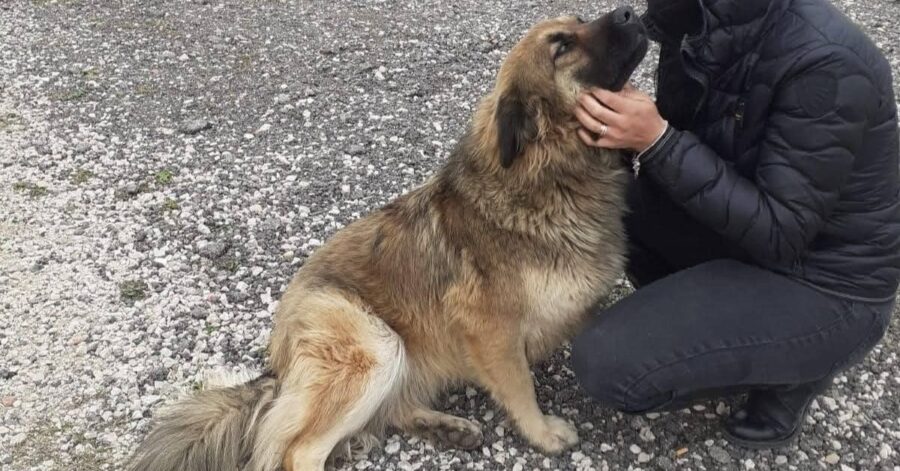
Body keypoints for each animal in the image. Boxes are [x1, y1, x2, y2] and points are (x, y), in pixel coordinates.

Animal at [128, 8, 648, 471]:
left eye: (577, 22)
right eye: (561, 46)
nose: (630, 12)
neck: (550, 175)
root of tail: (279, 357)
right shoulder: (491, 328)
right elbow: (520, 386)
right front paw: (543, 434)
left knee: (389, 411)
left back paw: (446, 428)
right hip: (375, 345)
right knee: (299, 452)